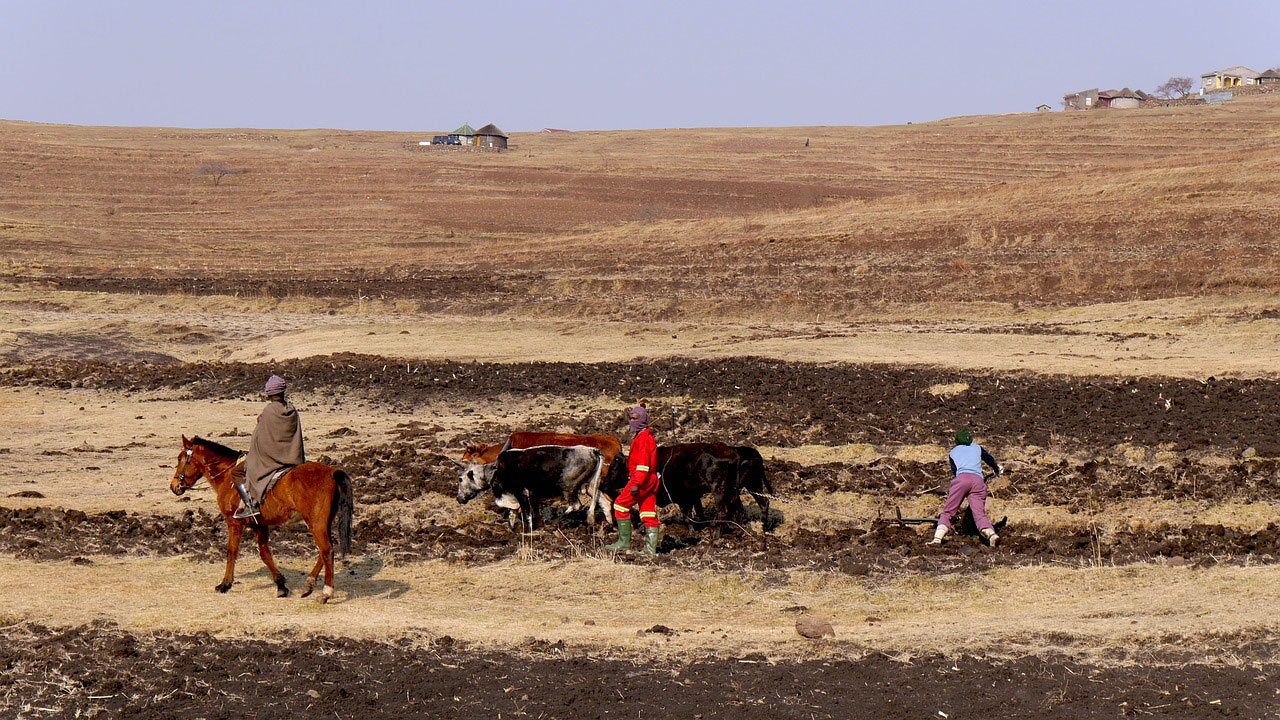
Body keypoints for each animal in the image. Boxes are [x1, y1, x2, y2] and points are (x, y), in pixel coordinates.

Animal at [168, 435, 355, 602]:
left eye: (180, 459)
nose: (174, 486)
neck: (227, 475)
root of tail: (331, 472)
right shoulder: (259, 525)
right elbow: (265, 554)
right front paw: (281, 585)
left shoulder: (234, 522)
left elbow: (231, 552)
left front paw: (225, 584)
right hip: (323, 523)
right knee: (325, 551)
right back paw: (308, 585)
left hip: (316, 524)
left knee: (327, 551)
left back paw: (326, 593)